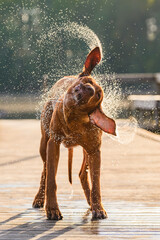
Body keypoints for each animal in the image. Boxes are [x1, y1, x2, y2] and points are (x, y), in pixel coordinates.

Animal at [32, 46, 116, 219]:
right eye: (88, 82)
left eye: (98, 94)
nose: (89, 89)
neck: (73, 119)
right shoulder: (54, 143)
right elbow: (51, 180)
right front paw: (52, 209)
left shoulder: (95, 150)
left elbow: (96, 183)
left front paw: (98, 207)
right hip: (44, 143)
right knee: (45, 171)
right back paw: (39, 198)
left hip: (87, 151)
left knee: (82, 174)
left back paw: (91, 202)